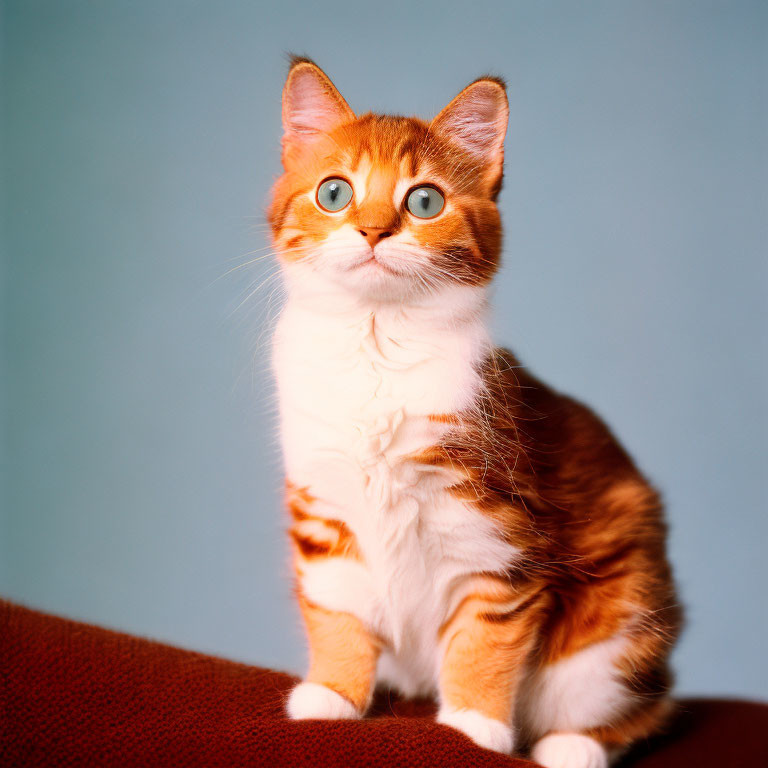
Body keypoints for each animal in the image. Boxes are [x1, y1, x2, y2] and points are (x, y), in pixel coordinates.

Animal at [268, 58, 680, 768]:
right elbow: (337, 610)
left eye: (424, 201)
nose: (373, 230)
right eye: (334, 192)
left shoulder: (501, 531)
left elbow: (486, 636)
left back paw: (572, 746)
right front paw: (333, 695)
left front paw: (471, 728)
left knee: (645, 705)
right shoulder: (323, 510)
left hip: (618, 619)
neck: (376, 344)